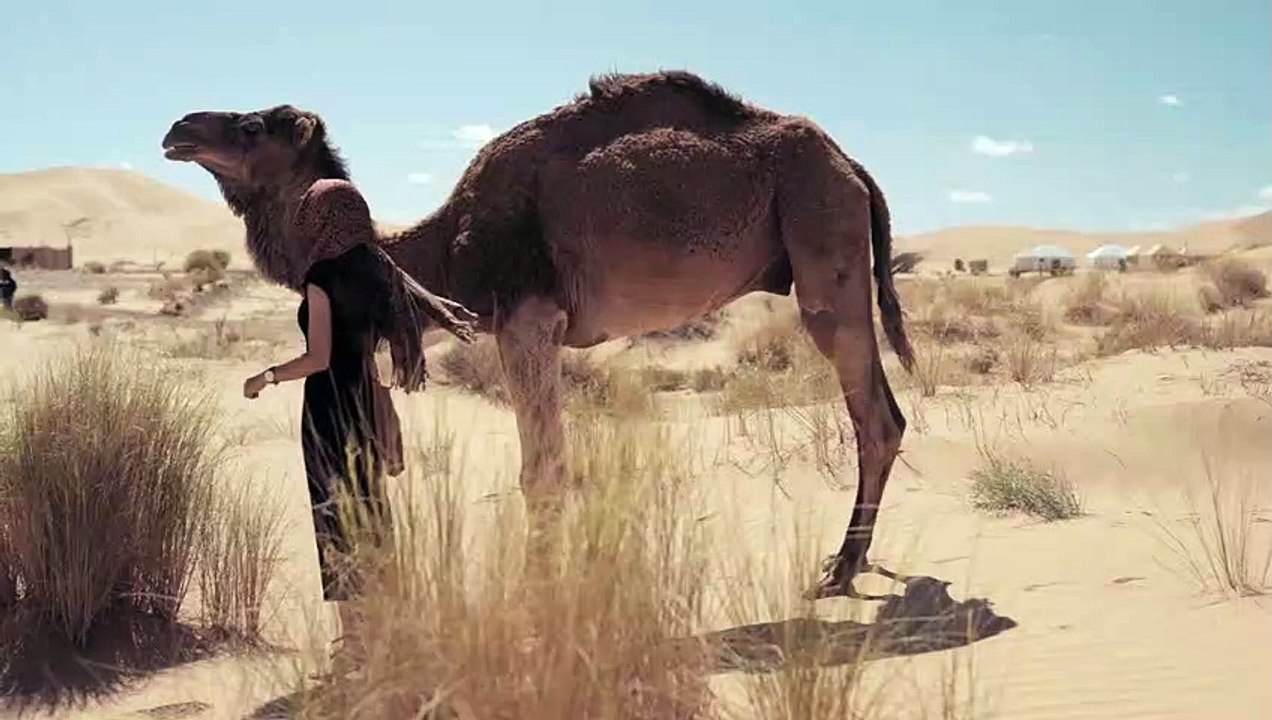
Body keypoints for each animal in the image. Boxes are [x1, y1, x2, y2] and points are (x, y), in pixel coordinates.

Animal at [160, 70, 915, 598]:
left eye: (253, 126)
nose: (178, 128)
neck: (447, 247)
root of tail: (852, 166)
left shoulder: (526, 321)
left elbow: (542, 470)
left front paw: (537, 588)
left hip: (823, 236)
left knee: (874, 415)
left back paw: (841, 569)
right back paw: (852, 560)